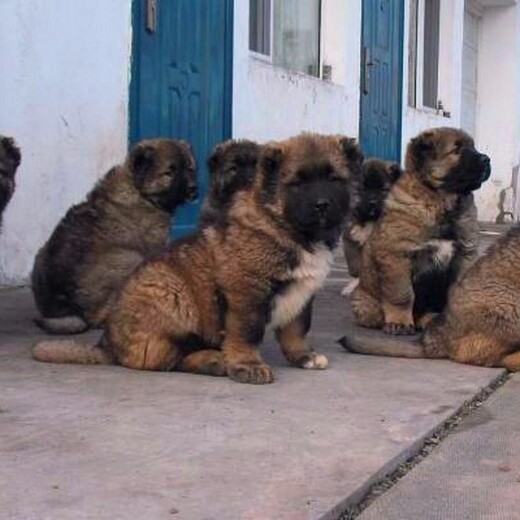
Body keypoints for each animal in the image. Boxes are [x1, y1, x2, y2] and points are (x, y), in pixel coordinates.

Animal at [31, 138, 197, 334]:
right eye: (169, 173)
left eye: (190, 169)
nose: (193, 189)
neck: (138, 189)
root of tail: (69, 307)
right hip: (129, 258)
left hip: (41, 253)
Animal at [342, 156, 402, 294]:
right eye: (363, 188)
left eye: (382, 189)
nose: (372, 203)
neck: (372, 220)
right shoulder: (351, 238)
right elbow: (355, 266)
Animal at [352, 128, 490, 336]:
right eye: (456, 150)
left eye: (473, 147)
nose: (487, 159)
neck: (442, 201)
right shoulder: (397, 255)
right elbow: (402, 294)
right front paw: (399, 322)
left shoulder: (464, 255)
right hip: (364, 301)